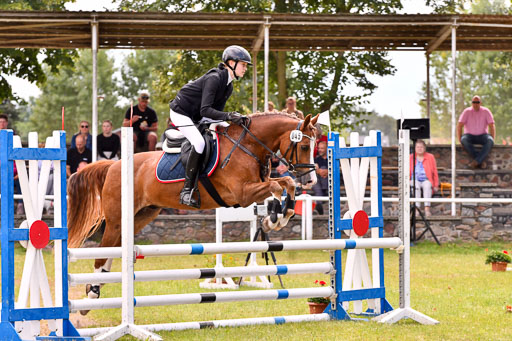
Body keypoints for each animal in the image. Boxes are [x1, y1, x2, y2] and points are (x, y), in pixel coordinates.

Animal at [67, 112, 316, 308]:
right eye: (304, 146)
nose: (311, 180)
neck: (248, 146)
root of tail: (113, 165)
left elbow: (287, 183)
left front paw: (281, 216)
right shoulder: (242, 194)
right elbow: (277, 186)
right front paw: (273, 219)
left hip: (142, 215)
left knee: (115, 248)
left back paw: (98, 286)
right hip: (117, 218)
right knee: (103, 251)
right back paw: (92, 292)